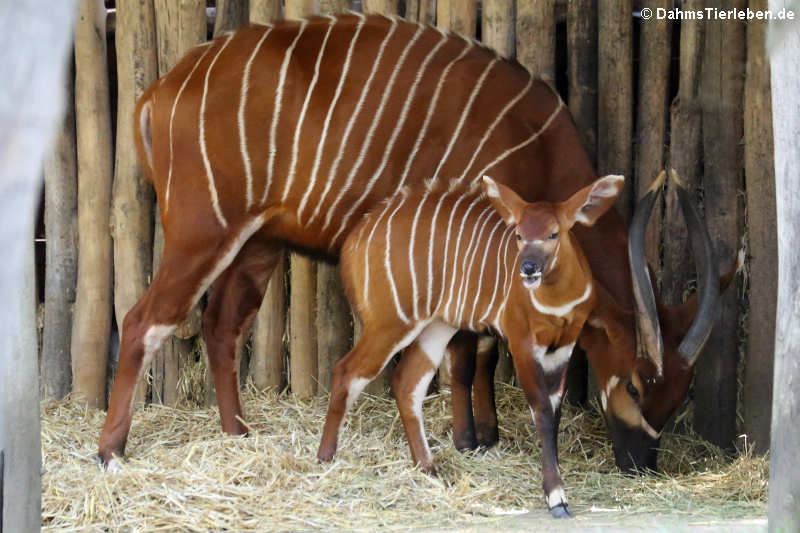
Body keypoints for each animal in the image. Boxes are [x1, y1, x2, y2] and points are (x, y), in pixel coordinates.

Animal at [100, 11, 724, 474]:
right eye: (638, 386)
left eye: (680, 396)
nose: (641, 463)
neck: (537, 144)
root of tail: (157, 92)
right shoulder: (473, 245)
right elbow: (470, 350)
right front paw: (470, 438)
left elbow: (477, 344)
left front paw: (485, 434)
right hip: (202, 231)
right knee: (143, 320)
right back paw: (111, 450)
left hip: (256, 242)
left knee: (220, 327)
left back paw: (237, 433)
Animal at [318, 175, 624, 516]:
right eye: (519, 235)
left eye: (553, 233)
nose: (528, 267)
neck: (556, 303)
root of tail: (353, 241)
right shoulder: (521, 342)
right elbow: (542, 410)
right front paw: (556, 497)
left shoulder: (564, 345)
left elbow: (554, 413)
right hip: (391, 323)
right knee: (347, 371)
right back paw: (325, 459)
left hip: (436, 327)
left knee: (406, 382)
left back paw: (429, 468)